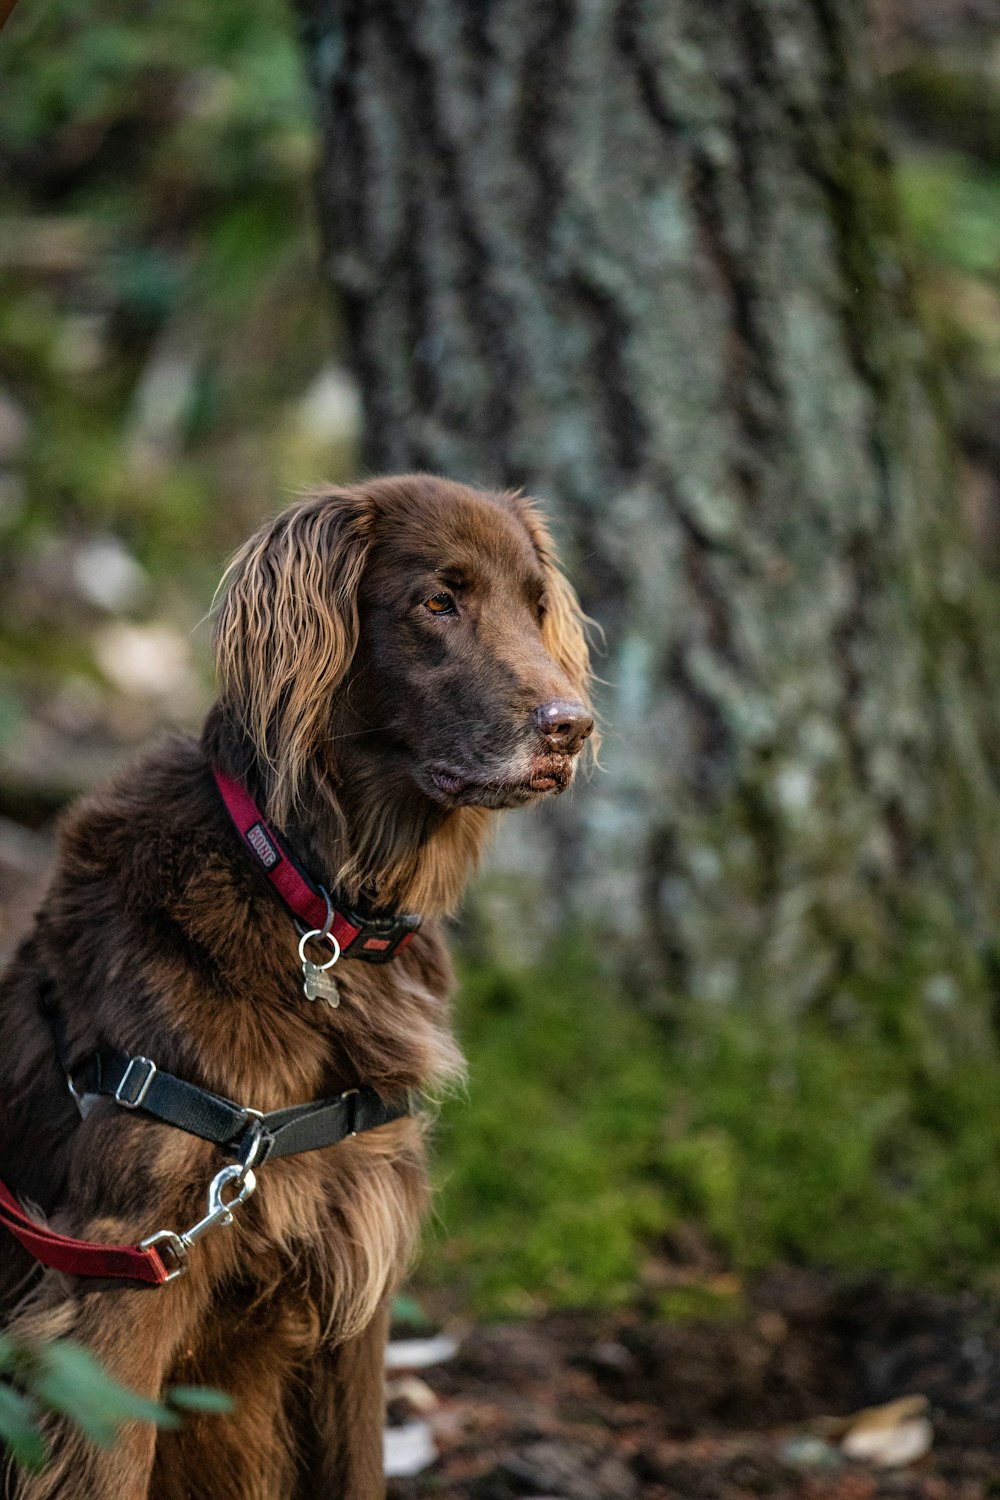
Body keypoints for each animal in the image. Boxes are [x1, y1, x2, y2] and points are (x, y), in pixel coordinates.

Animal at [0, 477, 593, 1500]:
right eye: (438, 603)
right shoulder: (116, 1282)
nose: (571, 726)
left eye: (534, 605)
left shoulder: (356, 1263)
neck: (308, 900)